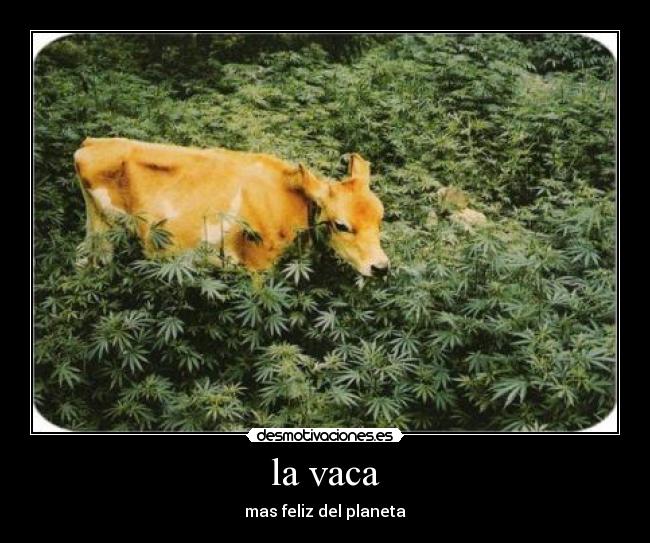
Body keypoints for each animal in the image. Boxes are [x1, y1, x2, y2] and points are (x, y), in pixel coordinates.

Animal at [73, 138, 390, 276]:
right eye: (341, 225)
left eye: (380, 219)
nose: (381, 267)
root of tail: (92, 142)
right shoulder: (258, 266)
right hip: (103, 233)